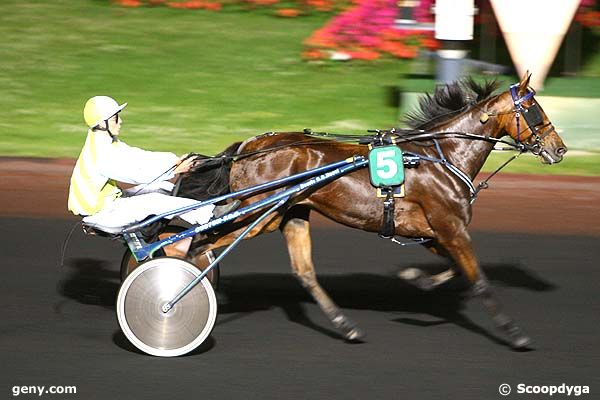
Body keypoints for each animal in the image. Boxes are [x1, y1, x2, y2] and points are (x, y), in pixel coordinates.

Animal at [178, 73, 568, 348]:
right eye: (533, 110)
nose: (559, 149)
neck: (440, 156)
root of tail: (247, 146)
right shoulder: (450, 227)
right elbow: (479, 280)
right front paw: (515, 333)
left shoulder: (433, 231)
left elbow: (456, 269)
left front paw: (417, 278)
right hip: (258, 214)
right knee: (201, 243)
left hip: (288, 214)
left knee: (304, 272)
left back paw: (346, 327)